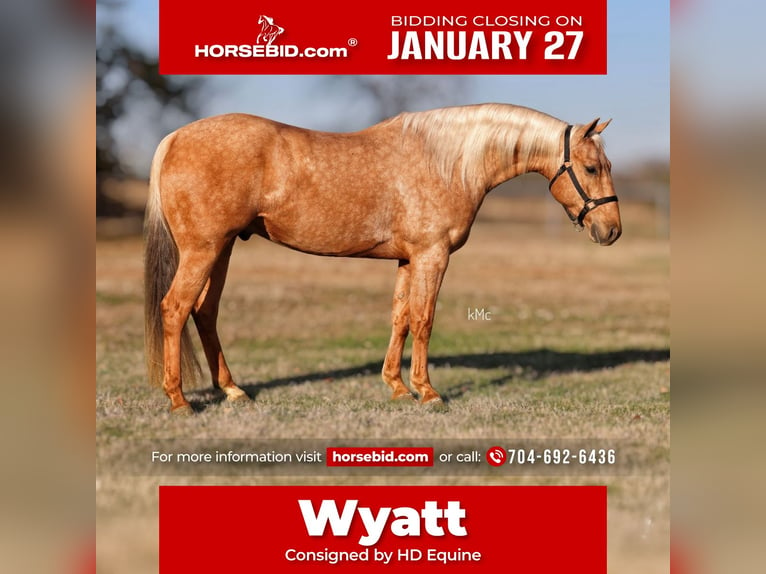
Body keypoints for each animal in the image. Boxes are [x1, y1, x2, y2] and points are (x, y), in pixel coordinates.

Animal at [146, 103, 624, 414]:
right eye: (592, 168)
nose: (612, 231)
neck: (446, 161)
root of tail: (174, 138)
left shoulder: (409, 260)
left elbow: (401, 318)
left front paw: (397, 388)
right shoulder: (432, 256)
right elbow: (424, 319)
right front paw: (428, 393)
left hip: (222, 248)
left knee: (204, 312)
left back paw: (233, 391)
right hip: (204, 249)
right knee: (175, 309)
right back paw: (179, 401)